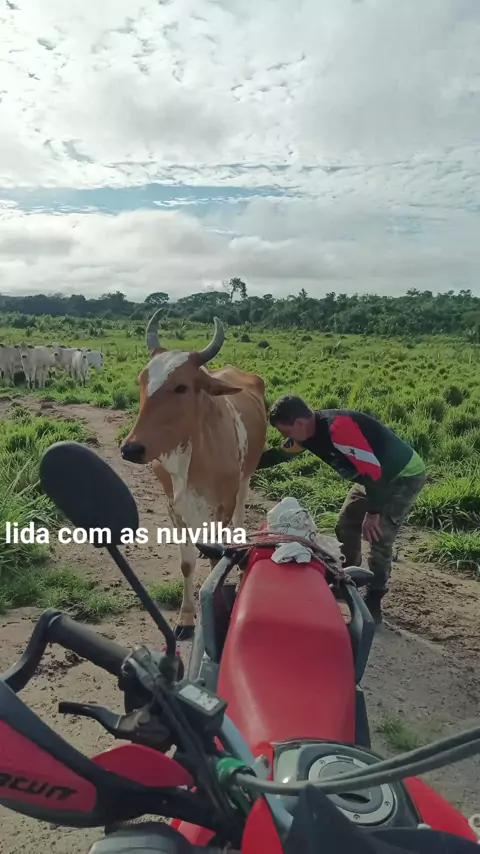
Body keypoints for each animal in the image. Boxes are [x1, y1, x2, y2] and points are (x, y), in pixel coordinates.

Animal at [120, 310, 267, 640]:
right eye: (142, 381)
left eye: (181, 387)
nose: (131, 448)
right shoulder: (174, 508)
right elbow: (187, 564)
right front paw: (186, 619)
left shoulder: (222, 506)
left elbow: (216, 558)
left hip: (245, 478)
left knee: (240, 516)